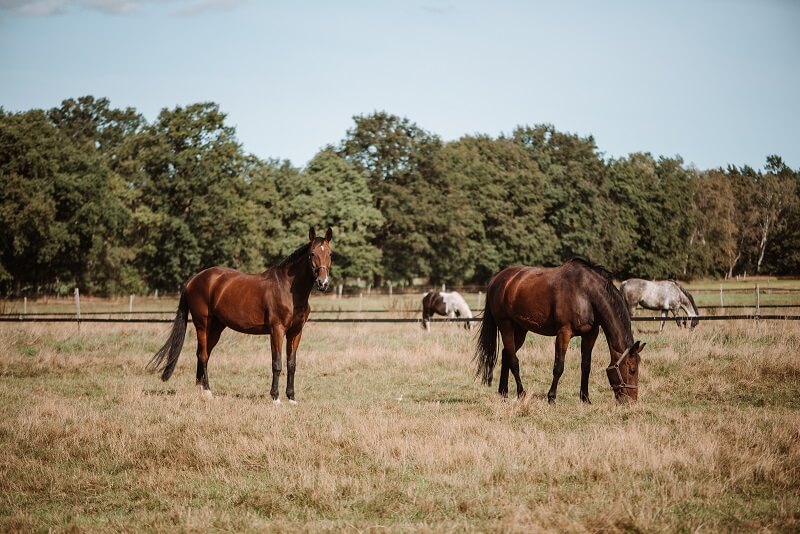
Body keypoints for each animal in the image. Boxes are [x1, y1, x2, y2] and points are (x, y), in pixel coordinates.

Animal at [147, 227, 332, 406]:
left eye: (330, 254)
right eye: (312, 254)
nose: (322, 283)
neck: (287, 289)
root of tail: (194, 279)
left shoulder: (296, 332)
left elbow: (291, 364)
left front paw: (292, 398)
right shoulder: (277, 330)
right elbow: (277, 363)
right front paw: (276, 398)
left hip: (216, 327)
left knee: (203, 353)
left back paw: (202, 390)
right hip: (202, 325)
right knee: (203, 355)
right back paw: (208, 392)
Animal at [476, 258, 644, 404]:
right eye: (632, 370)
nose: (631, 401)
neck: (586, 293)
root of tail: (497, 280)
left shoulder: (590, 334)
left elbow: (586, 366)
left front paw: (585, 398)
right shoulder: (564, 333)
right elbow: (559, 367)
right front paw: (551, 397)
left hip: (520, 330)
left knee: (506, 355)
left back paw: (503, 393)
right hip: (505, 325)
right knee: (513, 360)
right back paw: (521, 393)